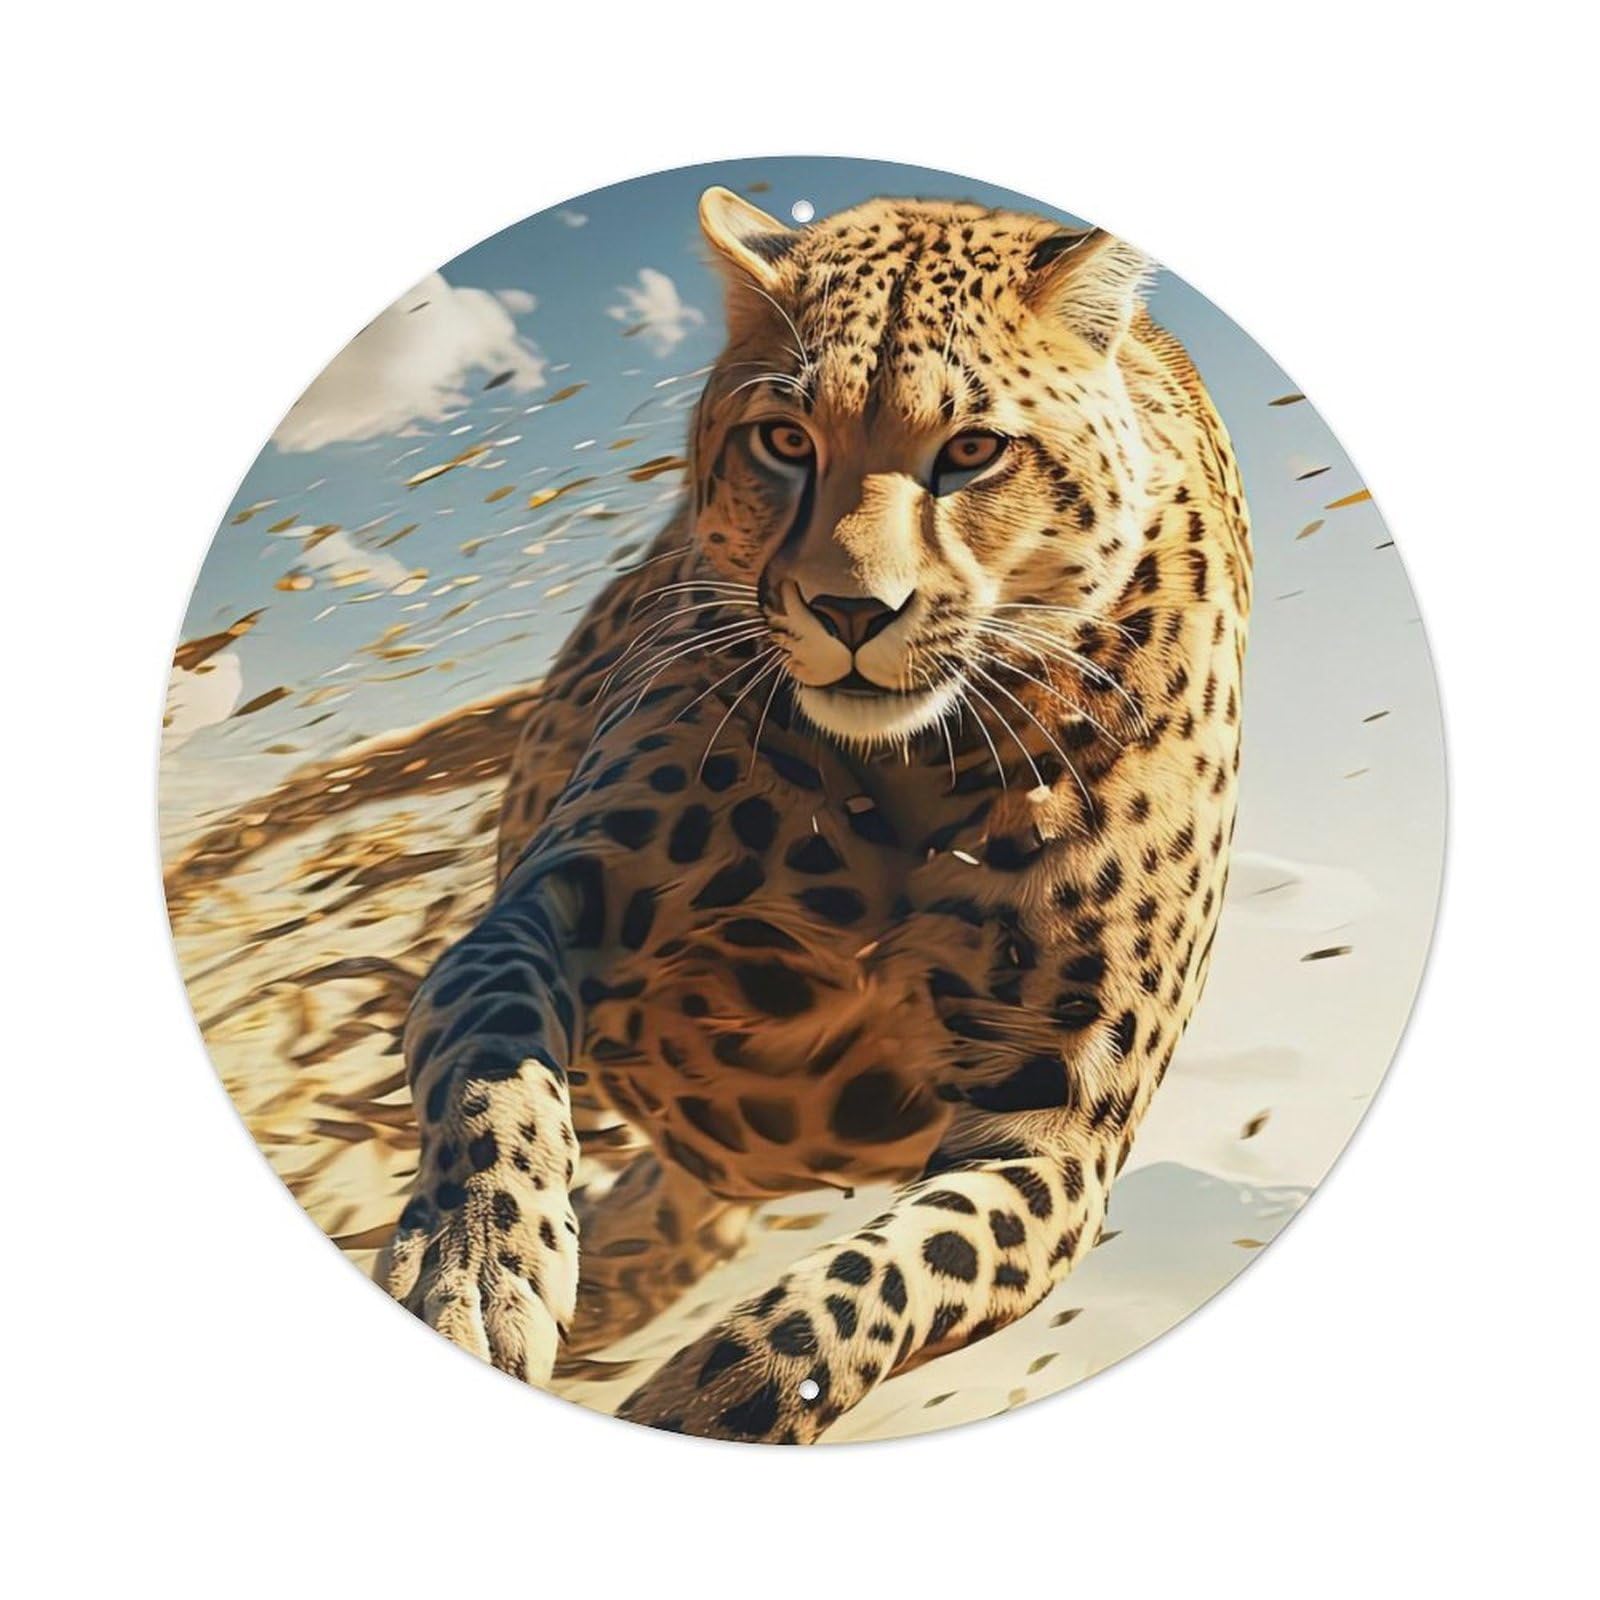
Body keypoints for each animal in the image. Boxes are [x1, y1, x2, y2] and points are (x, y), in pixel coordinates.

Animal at [376, 185, 1252, 1442]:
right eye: (785, 441)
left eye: (971, 451)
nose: (849, 610)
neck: (920, 766)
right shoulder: (561, 893)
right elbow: (489, 1056)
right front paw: (473, 1265)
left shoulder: (1059, 1128)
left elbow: (882, 1281)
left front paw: (708, 1399)